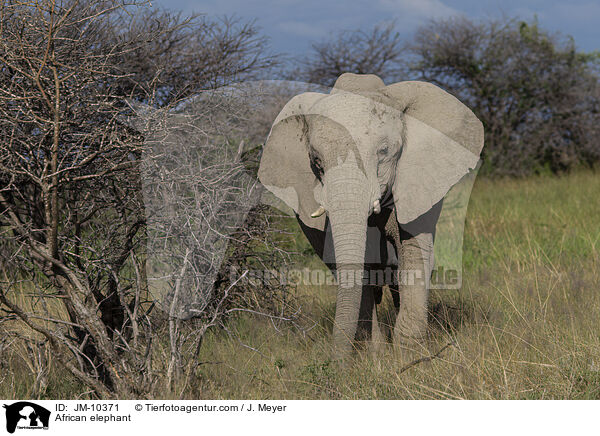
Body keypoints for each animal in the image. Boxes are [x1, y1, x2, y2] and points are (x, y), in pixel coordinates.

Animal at [258, 72, 482, 358]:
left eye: (384, 152)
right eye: (317, 161)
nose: (336, 365)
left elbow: (414, 257)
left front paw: (409, 356)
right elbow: (353, 269)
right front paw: (375, 355)